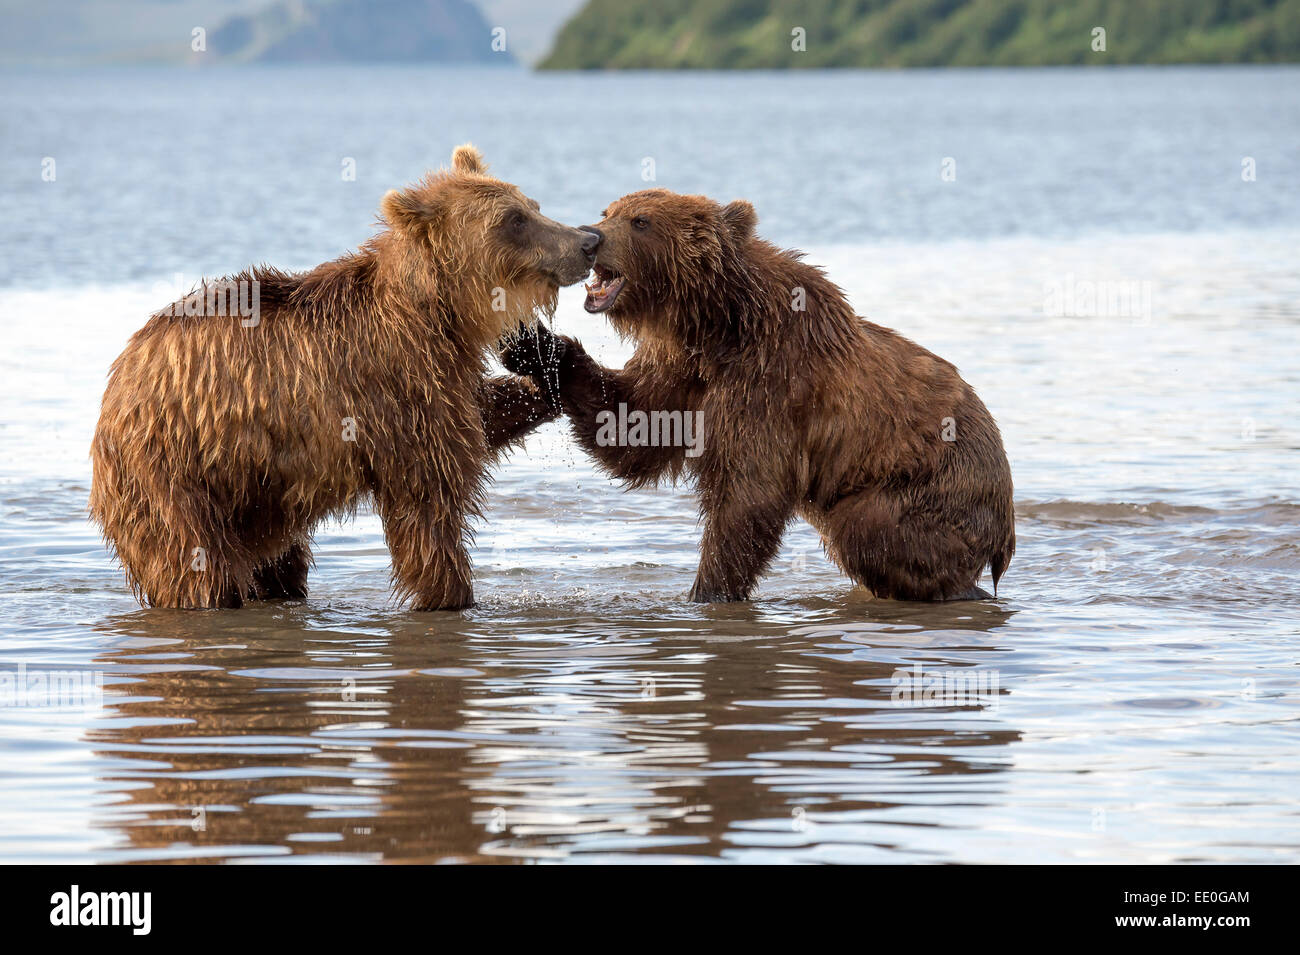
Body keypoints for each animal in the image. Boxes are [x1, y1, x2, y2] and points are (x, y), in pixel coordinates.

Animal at [92, 149, 595, 613]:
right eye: (513, 220)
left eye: (532, 204)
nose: (587, 240)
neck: (438, 315)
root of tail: (117, 383)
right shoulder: (391, 384)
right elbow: (427, 506)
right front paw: (449, 595)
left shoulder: (442, 379)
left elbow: (479, 416)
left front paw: (554, 375)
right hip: (174, 470)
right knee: (196, 565)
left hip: (255, 490)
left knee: (279, 563)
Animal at [501, 189, 1019, 600]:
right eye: (608, 210)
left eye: (641, 221)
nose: (591, 236)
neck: (716, 325)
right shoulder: (681, 370)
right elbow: (632, 426)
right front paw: (530, 346)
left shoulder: (772, 381)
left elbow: (748, 493)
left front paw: (708, 591)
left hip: (928, 486)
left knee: (870, 528)